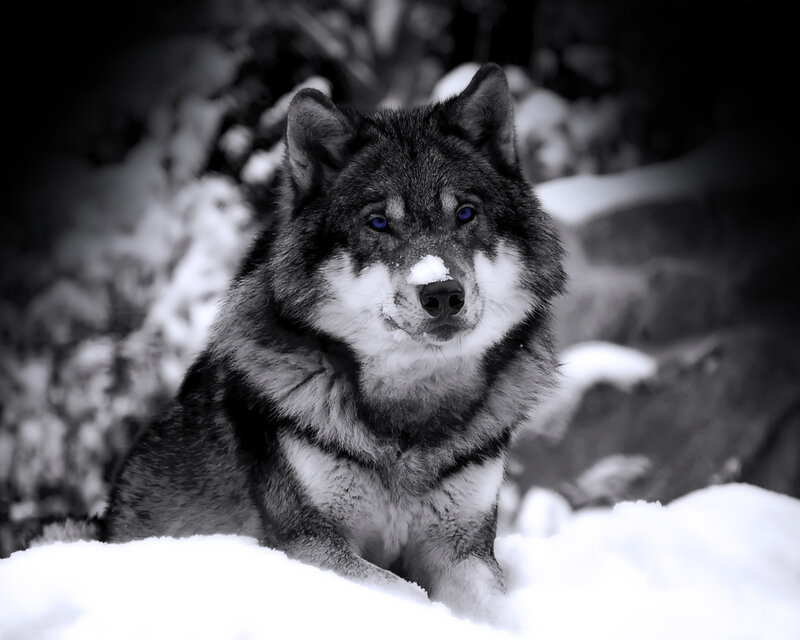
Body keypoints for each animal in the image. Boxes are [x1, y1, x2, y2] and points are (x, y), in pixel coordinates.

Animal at [103, 63, 565, 624]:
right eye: (379, 222)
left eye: (465, 214)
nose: (441, 292)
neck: (409, 418)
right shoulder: (308, 544)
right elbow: (405, 593)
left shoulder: (463, 549)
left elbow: (499, 611)